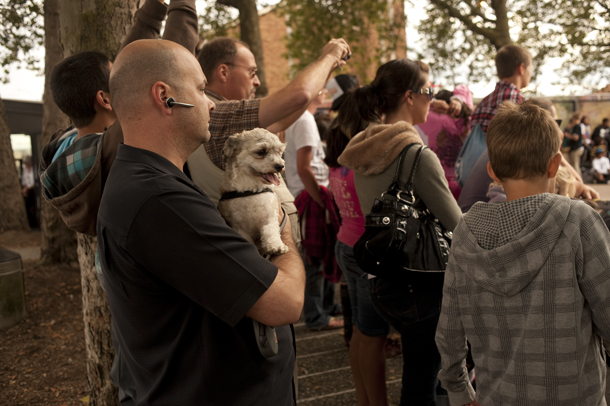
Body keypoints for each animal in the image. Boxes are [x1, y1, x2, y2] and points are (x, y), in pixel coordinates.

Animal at [216, 127, 288, 255]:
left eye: (279, 151)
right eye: (261, 151)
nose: (280, 166)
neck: (251, 190)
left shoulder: (269, 217)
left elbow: (271, 231)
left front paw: (276, 246)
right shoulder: (239, 227)